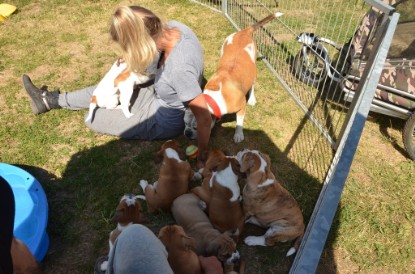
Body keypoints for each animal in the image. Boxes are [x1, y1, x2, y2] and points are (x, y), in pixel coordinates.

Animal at [184, 11, 284, 142]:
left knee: (252, 84)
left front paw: (238, 134)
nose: (187, 133)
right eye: (184, 123)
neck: (214, 97)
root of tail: (243, 32)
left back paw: (252, 98)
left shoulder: (241, 107)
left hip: (253, 69)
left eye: (196, 128)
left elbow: (239, 122)